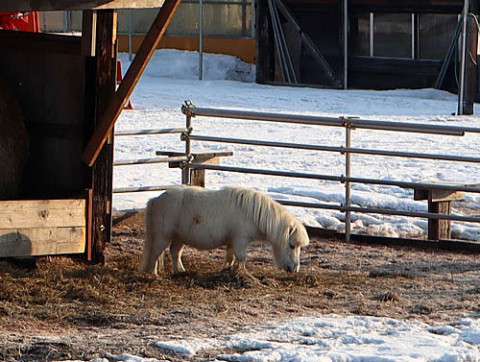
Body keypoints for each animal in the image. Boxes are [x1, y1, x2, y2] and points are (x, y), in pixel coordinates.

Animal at [139, 187, 312, 274]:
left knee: (175, 252)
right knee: (156, 252)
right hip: (163, 236)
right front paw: (242, 275)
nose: (294, 269)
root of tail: (156, 199)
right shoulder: (240, 240)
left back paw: (180, 271)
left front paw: (227, 271)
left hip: (179, 237)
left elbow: (230, 257)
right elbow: (241, 258)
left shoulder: (232, 242)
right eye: (292, 245)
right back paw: (153, 274)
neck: (251, 213)